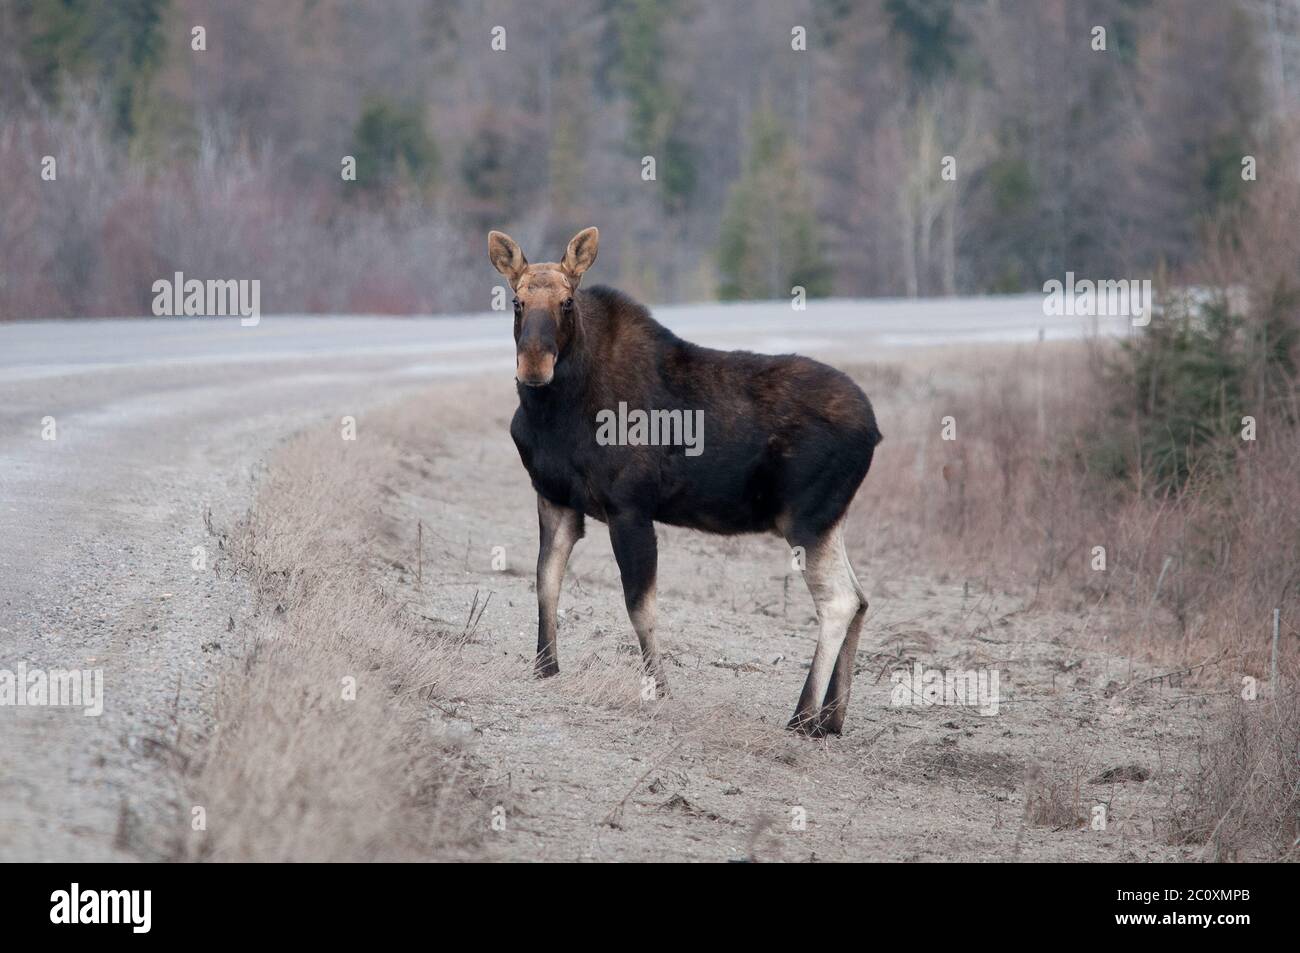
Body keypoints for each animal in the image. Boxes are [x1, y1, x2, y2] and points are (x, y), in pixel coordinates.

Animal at [488, 224, 883, 738]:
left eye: (567, 301)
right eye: (516, 301)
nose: (534, 366)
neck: (552, 411)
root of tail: (874, 430)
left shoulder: (629, 507)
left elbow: (640, 605)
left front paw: (658, 688)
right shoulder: (555, 499)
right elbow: (545, 581)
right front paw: (545, 667)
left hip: (806, 519)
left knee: (838, 600)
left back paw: (801, 717)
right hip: (830, 520)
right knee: (860, 598)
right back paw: (831, 720)